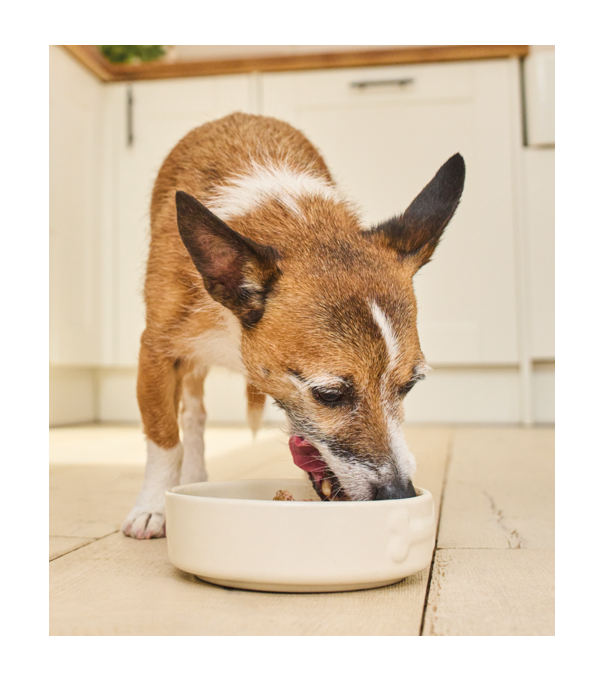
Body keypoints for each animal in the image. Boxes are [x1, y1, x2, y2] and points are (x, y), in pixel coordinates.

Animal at [121, 113, 462, 540]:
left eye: (410, 386)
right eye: (329, 395)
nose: (399, 494)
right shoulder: (158, 353)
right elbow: (164, 436)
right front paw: (152, 506)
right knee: (193, 417)